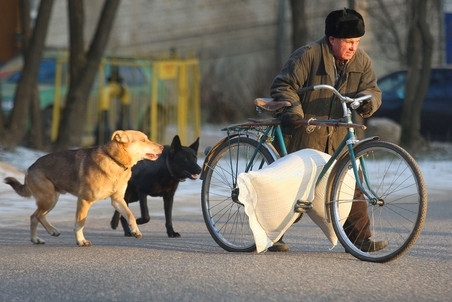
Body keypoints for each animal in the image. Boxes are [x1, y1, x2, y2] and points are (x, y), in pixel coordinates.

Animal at [3, 131, 163, 247]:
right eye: (144, 140)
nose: (162, 147)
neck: (114, 161)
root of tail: (30, 168)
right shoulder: (84, 200)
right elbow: (80, 223)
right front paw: (81, 241)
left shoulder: (117, 200)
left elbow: (130, 215)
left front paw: (135, 231)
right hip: (48, 199)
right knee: (35, 216)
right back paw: (43, 235)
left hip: (52, 199)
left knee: (36, 216)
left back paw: (42, 236)